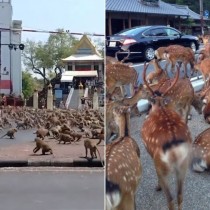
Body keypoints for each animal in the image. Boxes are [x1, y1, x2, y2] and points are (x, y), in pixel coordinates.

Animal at [140, 62, 193, 210]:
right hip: (184, 166)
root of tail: (175, 150)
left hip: (161, 166)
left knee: (170, 199)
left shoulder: (149, 152)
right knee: (180, 195)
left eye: (151, 103)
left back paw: (159, 188)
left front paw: (157, 186)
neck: (160, 106)